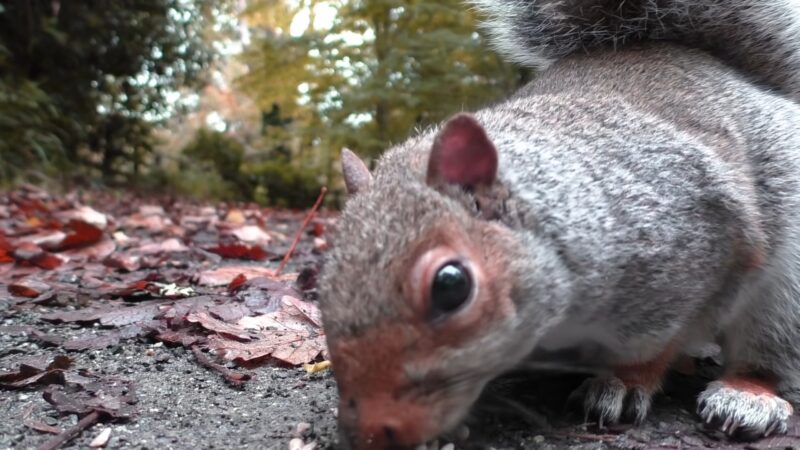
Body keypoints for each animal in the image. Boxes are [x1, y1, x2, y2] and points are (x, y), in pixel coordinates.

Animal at [316, 1, 800, 448]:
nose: (371, 435)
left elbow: (659, 341)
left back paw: (746, 394)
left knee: (768, 348)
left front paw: (624, 383)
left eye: (451, 286)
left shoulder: (701, 244)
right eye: (322, 285)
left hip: (786, 287)